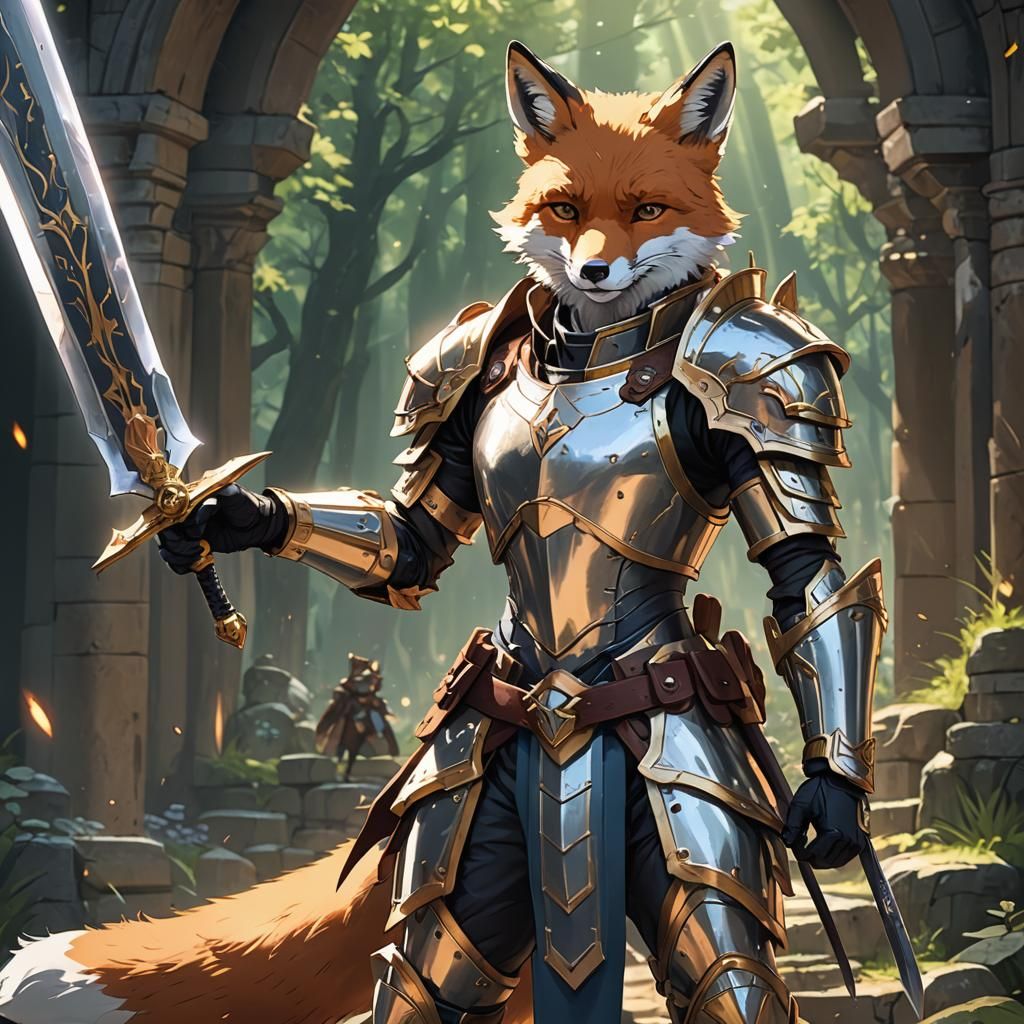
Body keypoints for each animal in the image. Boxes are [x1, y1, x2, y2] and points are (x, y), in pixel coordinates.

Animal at [0, 38, 745, 1024]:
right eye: (564, 207)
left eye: (649, 208)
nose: (592, 274)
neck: (597, 341)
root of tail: (556, 713)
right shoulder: (456, 382)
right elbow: (411, 540)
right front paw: (220, 516)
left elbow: (804, 569)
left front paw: (829, 805)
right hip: (464, 811)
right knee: (440, 965)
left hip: (673, 810)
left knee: (722, 966)